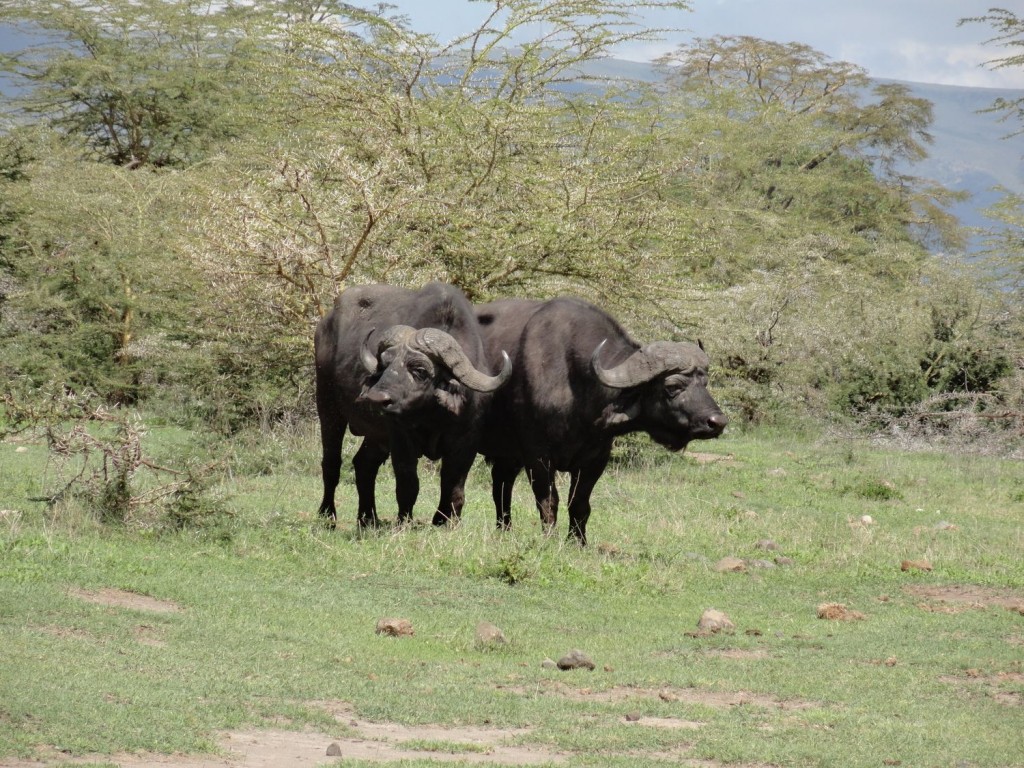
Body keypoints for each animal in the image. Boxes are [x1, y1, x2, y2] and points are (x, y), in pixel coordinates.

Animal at [313, 282, 509, 528]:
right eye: (385, 364)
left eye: (420, 370)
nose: (376, 398)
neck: (433, 416)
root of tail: (325, 325)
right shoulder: (400, 438)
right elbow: (408, 484)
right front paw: (403, 521)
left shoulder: (466, 441)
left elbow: (453, 485)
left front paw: (445, 521)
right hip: (328, 408)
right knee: (331, 464)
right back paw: (327, 515)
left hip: (376, 434)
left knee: (364, 465)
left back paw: (368, 518)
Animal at [477, 296, 729, 548]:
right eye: (673, 386)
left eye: (704, 383)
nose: (717, 422)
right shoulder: (537, 455)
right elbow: (548, 501)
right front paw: (550, 540)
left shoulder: (596, 458)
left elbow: (579, 503)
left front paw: (578, 542)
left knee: (501, 482)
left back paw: (504, 530)